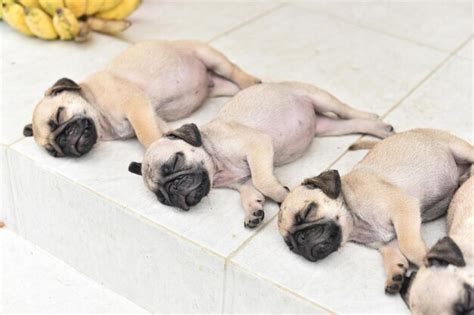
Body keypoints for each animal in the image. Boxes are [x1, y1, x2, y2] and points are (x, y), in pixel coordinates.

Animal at [23, 39, 260, 158]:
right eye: (53, 152)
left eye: (59, 116)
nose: (63, 140)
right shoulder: (151, 114)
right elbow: (159, 130)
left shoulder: (136, 106)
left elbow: (146, 135)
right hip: (220, 87)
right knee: (232, 86)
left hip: (210, 57)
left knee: (234, 70)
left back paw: (254, 83)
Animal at [128, 81, 394, 228]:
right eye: (162, 199)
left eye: (175, 162)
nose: (173, 190)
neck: (216, 163)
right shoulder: (243, 184)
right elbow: (250, 195)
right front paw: (253, 212)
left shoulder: (258, 146)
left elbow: (262, 180)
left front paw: (281, 195)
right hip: (328, 128)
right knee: (348, 124)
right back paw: (379, 129)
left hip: (321, 98)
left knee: (347, 110)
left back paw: (377, 121)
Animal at [278, 128, 474, 294]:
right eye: (291, 247)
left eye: (308, 211)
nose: (301, 238)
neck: (354, 220)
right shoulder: (386, 242)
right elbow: (394, 254)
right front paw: (396, 274)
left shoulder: (404, 208)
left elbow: (408, 246)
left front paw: (427, 261)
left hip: (459, 148)